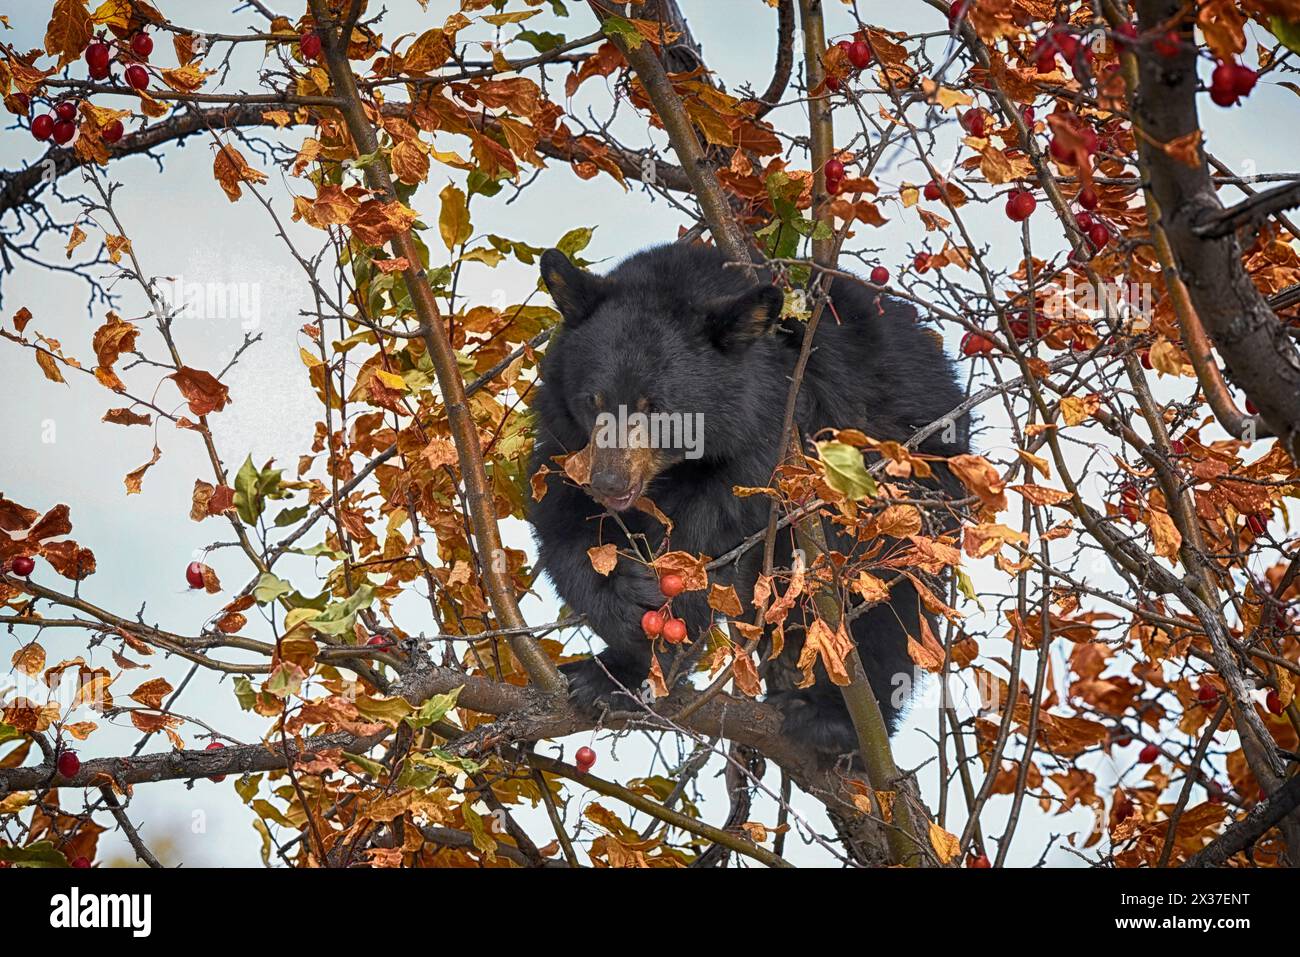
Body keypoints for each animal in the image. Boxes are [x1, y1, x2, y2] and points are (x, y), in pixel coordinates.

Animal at [528, 242, 969, 764]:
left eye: (656, 408)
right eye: (593, 399)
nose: (609, 483)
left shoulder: (777, 439)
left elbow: (717, 543)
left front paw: (623, 670)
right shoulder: (568, 442)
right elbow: (562, 521)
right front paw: (618, 614)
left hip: (910, 494)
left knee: (887, 604)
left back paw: (833, 719)